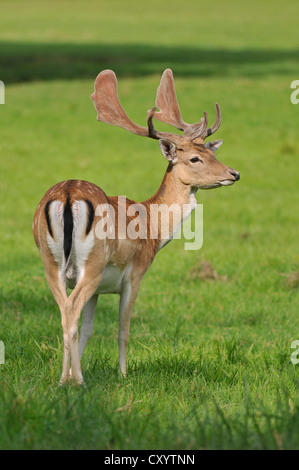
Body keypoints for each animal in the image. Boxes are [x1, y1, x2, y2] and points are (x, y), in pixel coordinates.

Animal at [31, 70, 240, 386]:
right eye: (195, 158)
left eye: (210, 152)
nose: (234, 173)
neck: (152, 227)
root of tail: (68, 195)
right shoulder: (135, 274)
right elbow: (123, 329)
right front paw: (122, 375)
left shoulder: (98, 289)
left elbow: (88, 330)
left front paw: (68, 375)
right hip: (93, 262)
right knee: (70, 310)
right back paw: (78, 381)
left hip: (51, 261)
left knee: (65, 313)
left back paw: (64, 379)